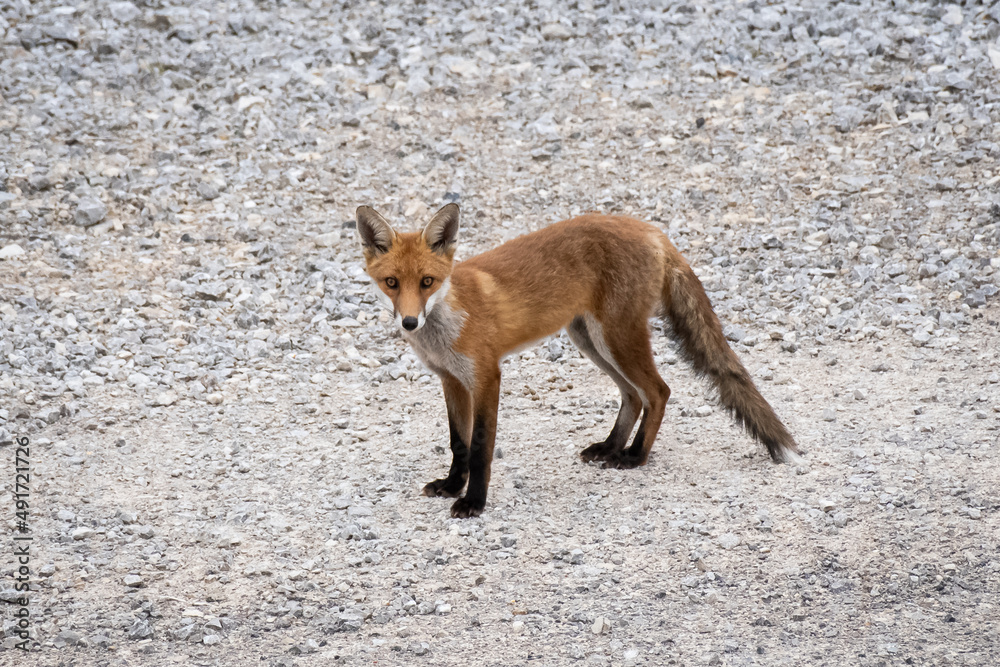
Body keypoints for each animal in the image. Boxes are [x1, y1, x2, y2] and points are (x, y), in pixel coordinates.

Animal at [356, 203, 799, 518]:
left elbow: (480, 446)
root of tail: (652, 230)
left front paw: (474, 502)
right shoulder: (451, 380)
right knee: (632, 395)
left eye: (427, 282)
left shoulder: (486, 376)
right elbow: (457, 443)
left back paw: (634, 456)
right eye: (391, 283)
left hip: (616, 338)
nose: (410, 322)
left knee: (658, 391)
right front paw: (452, 486)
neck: (447, 324)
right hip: (590, 340)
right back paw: (610, 446)